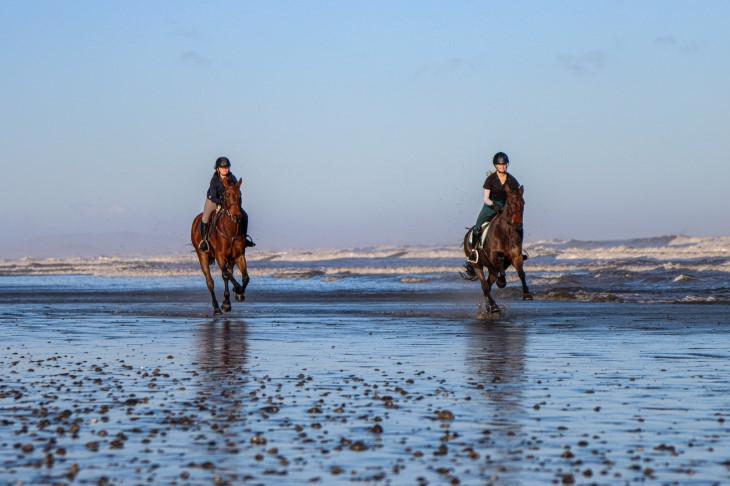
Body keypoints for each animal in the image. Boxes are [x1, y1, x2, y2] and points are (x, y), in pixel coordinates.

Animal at [191, 178, 250, 316]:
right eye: (227, 195)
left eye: (240, 195)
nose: (237, 216)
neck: (230, 231)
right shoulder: (220, 256)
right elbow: (226, 275)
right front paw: (230, 299)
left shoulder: (239, 255)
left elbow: (245, 277)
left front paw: (239, 293)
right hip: (202, 255)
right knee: (210, 281)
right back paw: (217, 308)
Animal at [460, 184, 528, 314]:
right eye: (509, 204)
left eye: (523, 203)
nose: (518, 224)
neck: (507, 232)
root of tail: (467, 234)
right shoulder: (493, 255)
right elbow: (500, 257)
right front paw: (502, 281)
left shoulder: (516, 255)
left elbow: (521, 273)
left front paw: (527, 294)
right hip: (477, 265)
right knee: (485, 286)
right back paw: (494, 306)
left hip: (492, 270)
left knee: (488, 285)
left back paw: (490, 306)